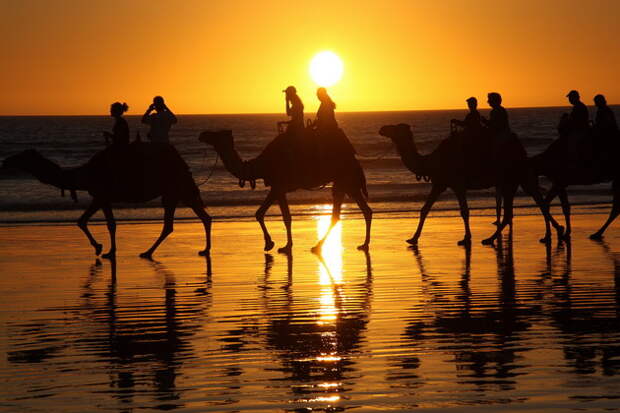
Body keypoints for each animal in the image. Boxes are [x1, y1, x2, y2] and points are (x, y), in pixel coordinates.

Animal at [2, 142, 212, 258]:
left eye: (22, 156)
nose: (5, 161)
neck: (82, 175)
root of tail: (183, 163)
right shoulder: (100, 197)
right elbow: (84, 220)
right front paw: (103, 248)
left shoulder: (101, 195)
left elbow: (106, 223)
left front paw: (104, 250)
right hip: (179, 191)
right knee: (199, 218)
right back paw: (202, 249)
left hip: (175, 189)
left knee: (176, 222)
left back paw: (148, 252)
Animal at [201, 129, 370, 253]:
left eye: (216, 134)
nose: (202, 134)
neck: (261, 166)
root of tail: (355, 161)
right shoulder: (278, 188)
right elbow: (270, 214)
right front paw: (278, 244)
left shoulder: (278, 186)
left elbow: (276, 216)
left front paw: (277, 245)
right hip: (344, 183)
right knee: (353, 212)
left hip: (346, 180)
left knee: (355, 211)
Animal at [378, 122, 560, 245]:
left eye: (395, 127)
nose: (382, 128)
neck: (430, 161)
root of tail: (521, 151)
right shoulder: (440, 184)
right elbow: (424, 209)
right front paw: (413, 238)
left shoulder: (457, 183)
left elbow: (464, 211)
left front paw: (466, 238)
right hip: (514, 180)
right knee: (531, 205)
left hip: (514, 178)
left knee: (532, 205)